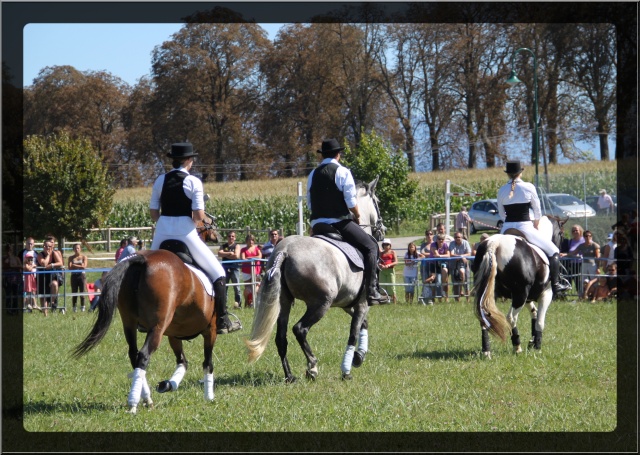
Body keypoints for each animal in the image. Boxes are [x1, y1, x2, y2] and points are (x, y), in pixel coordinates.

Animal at [72, 216, 225, 416]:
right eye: (208, 221)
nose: (219, 236)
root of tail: (141, 259)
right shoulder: (210, 330)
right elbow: (207, 362)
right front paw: (209, 396)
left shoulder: (174, 334)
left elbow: (182, 361)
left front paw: (168, 384)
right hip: (157, 327)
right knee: (144, 355)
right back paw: (133, 403)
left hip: (129, 322)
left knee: (134, 355)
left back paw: (146, 399)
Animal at [245, 176, 384, 382]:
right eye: (378, 202)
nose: (381, 231)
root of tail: (285, 250)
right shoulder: (361, 304)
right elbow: (353, 332)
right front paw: (347, 369)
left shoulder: (348, 304)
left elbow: (363, 325)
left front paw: (358, 357)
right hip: (320, 304)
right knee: (300, 329)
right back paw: (312, 367)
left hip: (284, 303)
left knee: (281, 337)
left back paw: (290, 376)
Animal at [468, 216, 568, 358]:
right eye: (562, 234)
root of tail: (495, 243)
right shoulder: (545, 294)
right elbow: (540, 321)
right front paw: (537, 346)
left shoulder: (528, 298)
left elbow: (534, 313)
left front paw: (532, 341)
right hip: (520, 295)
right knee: (511, 318)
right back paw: (517, 346)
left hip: (491, 293)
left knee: (484, 316)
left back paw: (486, 351)